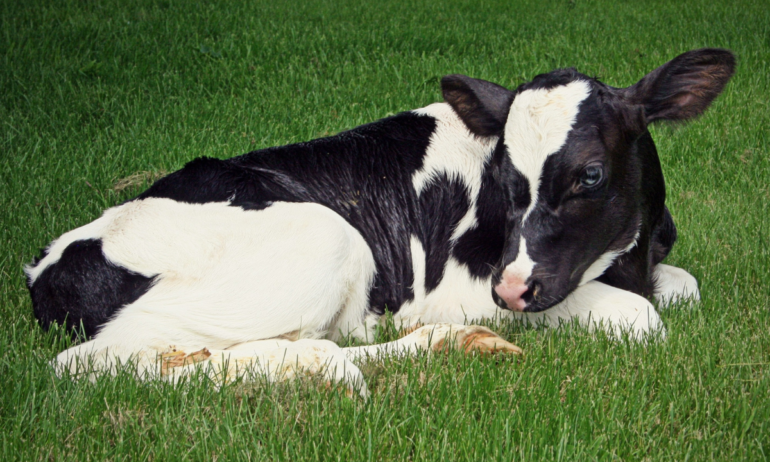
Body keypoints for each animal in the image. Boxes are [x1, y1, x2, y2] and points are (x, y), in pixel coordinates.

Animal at [24, 47, 732, 396]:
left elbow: (685, 287)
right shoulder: (468, 285)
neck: (628, 254)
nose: (512, 291)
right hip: (328, 238)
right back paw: (323, 368)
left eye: (590, 174)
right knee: (90, 363)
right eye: (504, 174)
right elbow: (643, 318)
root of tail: (48, 265)